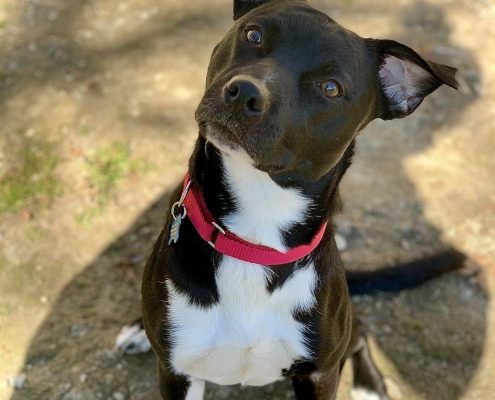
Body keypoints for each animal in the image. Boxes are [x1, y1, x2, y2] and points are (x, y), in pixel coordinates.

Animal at [116, 0, 458, 400]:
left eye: (331, 88)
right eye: (253, 34)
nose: (244, 93)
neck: (255, 237)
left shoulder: (320, 374)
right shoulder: (176, 373)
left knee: (360, 333)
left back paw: (369, 387)